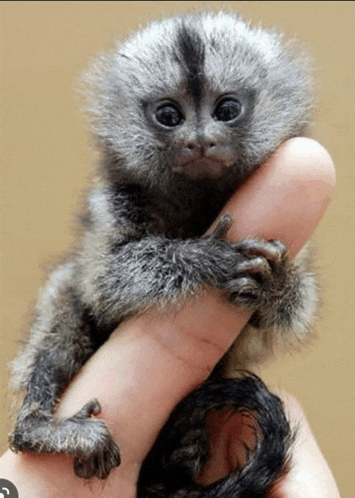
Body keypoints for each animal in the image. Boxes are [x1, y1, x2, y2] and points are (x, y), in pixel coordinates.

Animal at [9, 11, 318, 498]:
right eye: (169, 116)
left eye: (226, 110)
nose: (200, 140)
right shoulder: (116, 204)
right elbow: (104, 283)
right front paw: (204, 257)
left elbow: (285, 315)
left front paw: (276, 286)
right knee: (65, 305)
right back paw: (39, 429)